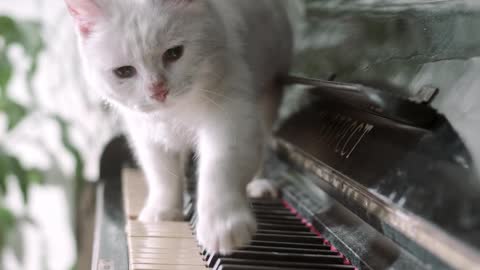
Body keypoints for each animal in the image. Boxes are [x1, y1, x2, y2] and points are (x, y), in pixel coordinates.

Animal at [64, 0, 292, 253]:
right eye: (123, 72)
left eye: (174, 53)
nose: (158, 91)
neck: (174, 113)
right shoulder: (147, 135)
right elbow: (161, 175)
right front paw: (163, 212)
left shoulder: (231, 119)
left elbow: (220, 168)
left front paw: (222, 225)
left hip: (269, 94)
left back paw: (258, 185)